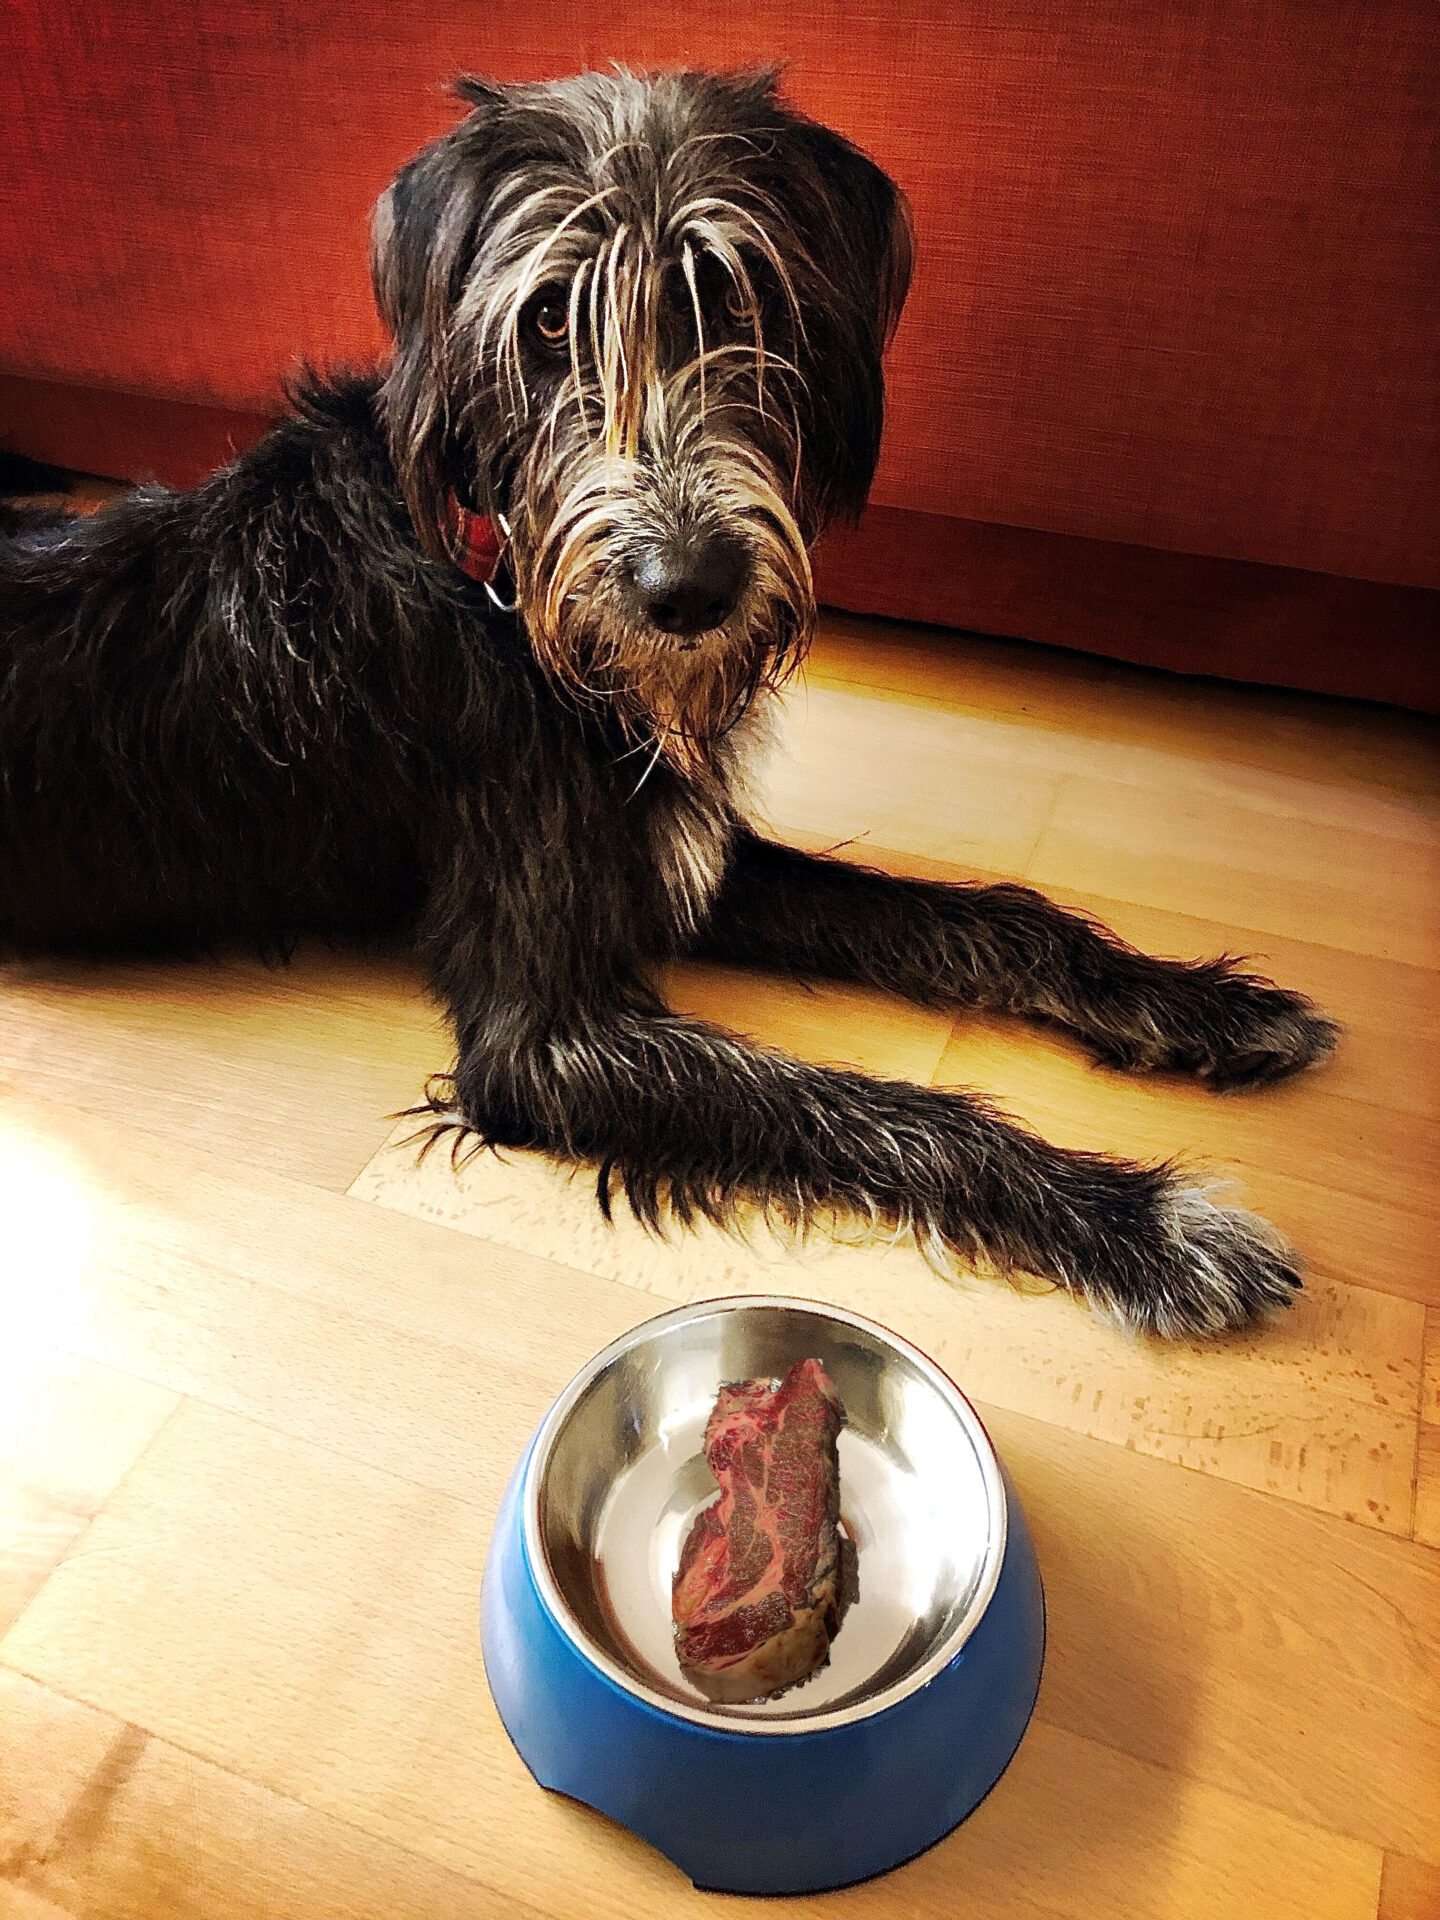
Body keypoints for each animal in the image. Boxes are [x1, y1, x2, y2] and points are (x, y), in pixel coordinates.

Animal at [0, 67, 1338, 1337]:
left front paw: (1190, 1002)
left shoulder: (679, 856)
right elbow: (853, 1102)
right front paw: (1138, 1221)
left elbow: (991, 921)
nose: (688, 590)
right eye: (548, 317)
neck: (501, 586)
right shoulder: (546, 1038)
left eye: (735, 297)